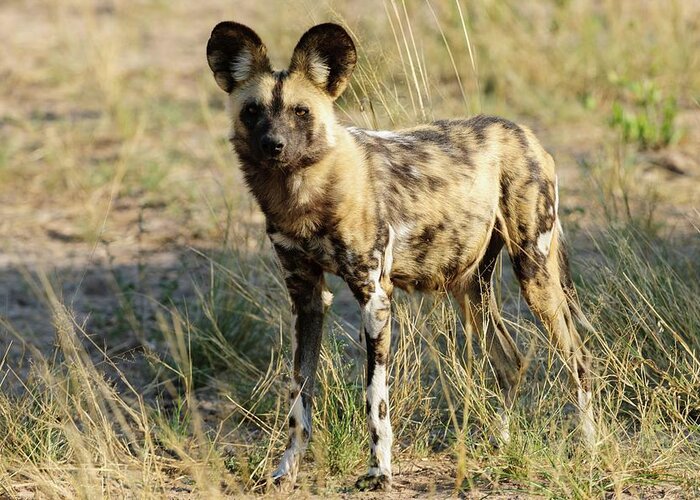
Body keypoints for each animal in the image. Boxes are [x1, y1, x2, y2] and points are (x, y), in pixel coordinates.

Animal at [206, 22, 596, 488]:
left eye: (301, 112)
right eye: (252, 112)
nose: (273, 145)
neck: (304, 197)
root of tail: (525, 132)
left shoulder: (374, 297)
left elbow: (375, 400)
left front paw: (379, 471)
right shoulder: (306, 299)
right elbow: (299, 397)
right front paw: (285, 472)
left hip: (534, 276)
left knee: (578, 358)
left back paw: (591, 448)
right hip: (470, 290)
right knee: (509, 361)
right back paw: (499, 445)